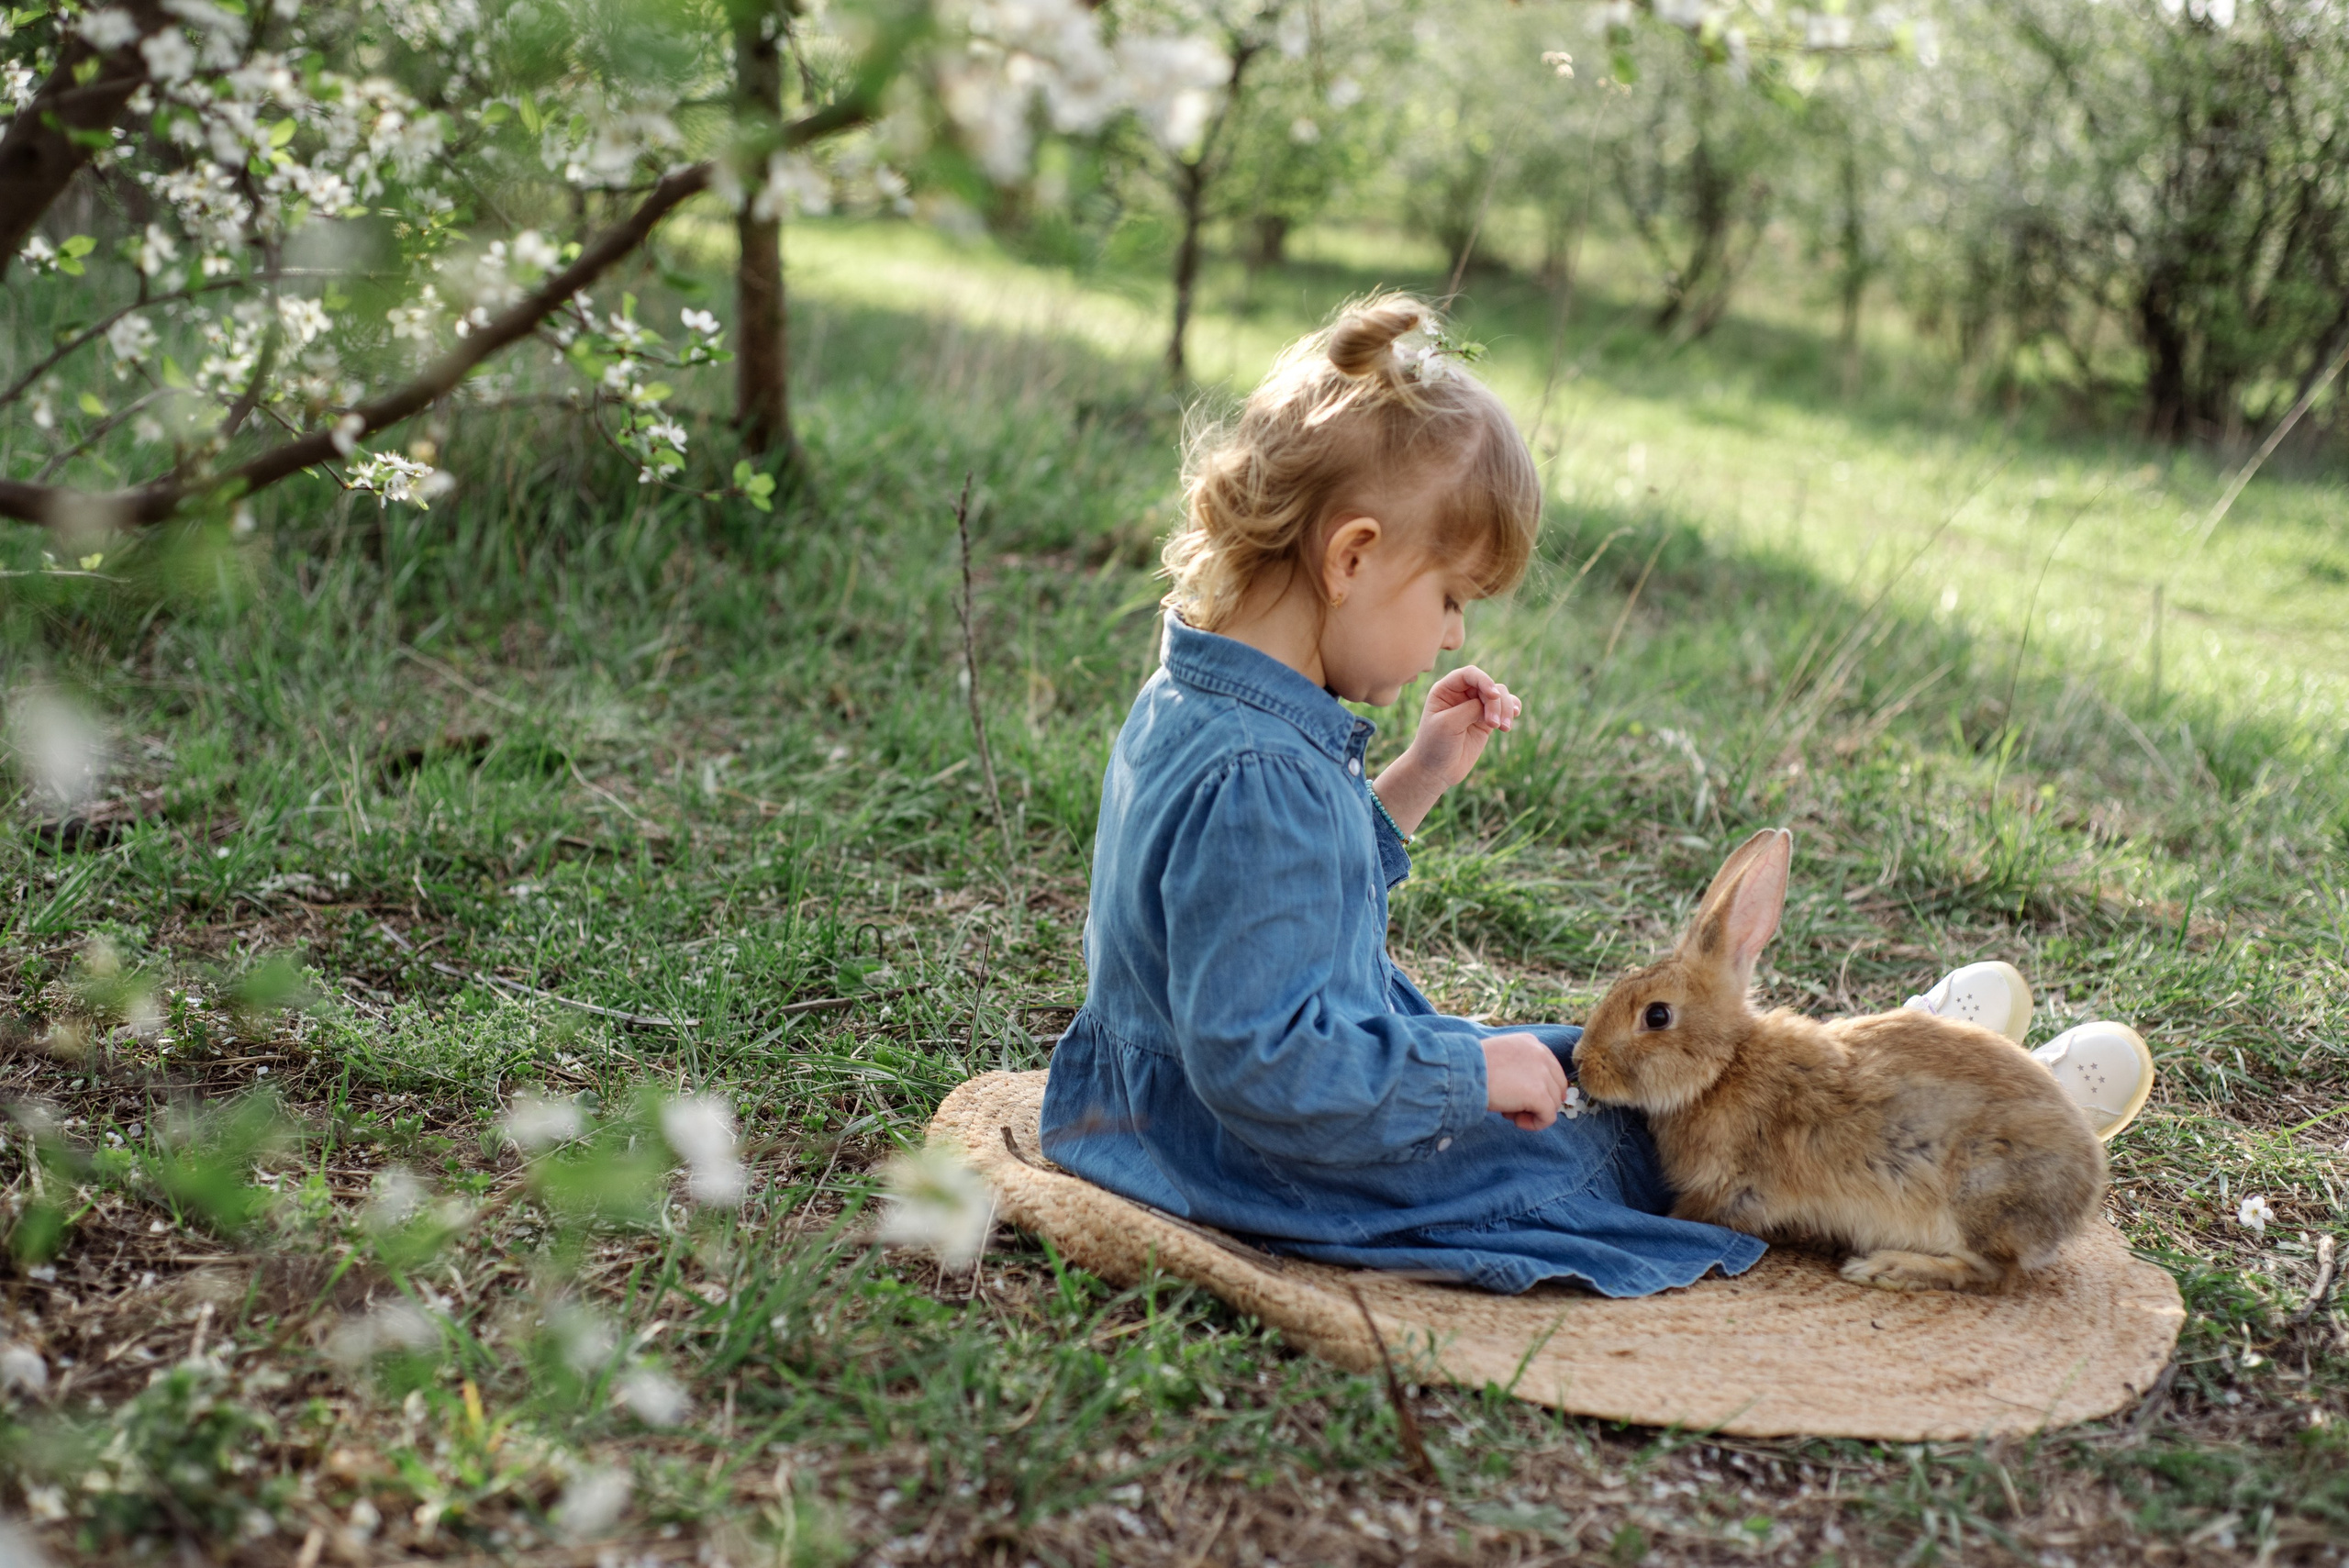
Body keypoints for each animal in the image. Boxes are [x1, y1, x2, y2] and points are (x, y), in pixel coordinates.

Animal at [1573, 828, 2106, 1293]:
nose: (1581, 1063)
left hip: (1976, 1197)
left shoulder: (1732, 1189)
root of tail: (2083, 1193)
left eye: (1656, 1016)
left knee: (1992, 1273)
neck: (1724, 1067)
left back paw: (1886, 1268)